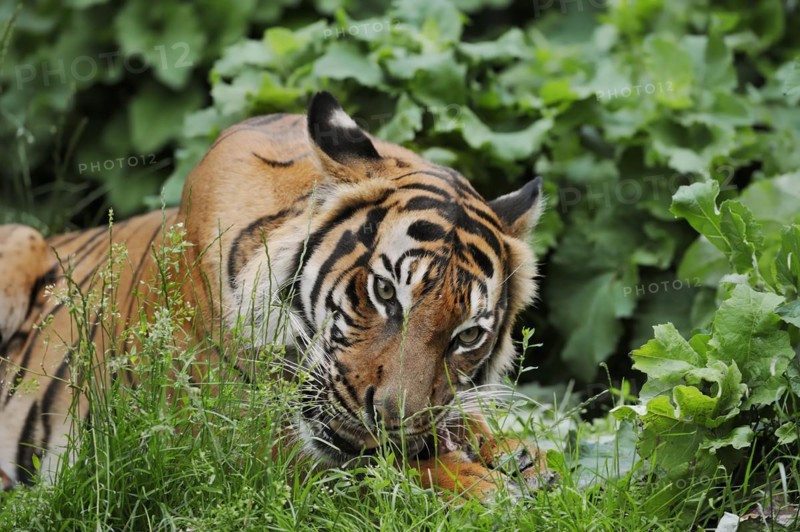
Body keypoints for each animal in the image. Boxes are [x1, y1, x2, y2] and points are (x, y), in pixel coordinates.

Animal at [0, 91, 551, 499]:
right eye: (385, 291)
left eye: (468, 336)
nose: (391, 420)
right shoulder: (228, 439)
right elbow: (380, 467)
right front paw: (482, 487)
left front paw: (519, 455)